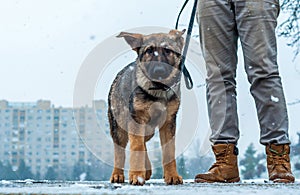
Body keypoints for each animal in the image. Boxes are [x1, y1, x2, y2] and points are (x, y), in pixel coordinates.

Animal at [108, 29, 185, 186]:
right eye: (149, 51)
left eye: (168, 50)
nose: (159, 70)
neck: (157, 90)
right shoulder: (137, 119)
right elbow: (136, 147)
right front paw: (137, 176)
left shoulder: (168, 122)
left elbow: (169, 151)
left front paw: (172, 175)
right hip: (119, 128)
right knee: (120, 151)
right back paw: (117, 175)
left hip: (148, 129)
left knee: (142, 142)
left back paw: (147, 169)